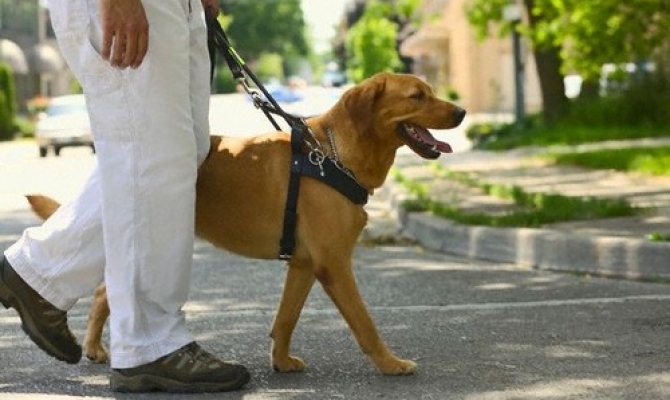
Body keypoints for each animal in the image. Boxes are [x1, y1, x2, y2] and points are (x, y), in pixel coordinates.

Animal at [27, 72, 466, 375]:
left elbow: (285, 318)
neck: (330, 154)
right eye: (417, 95)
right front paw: (390, 364)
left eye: (429, 90)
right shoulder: (335, 264)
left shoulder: (305, 264)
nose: (461, 111)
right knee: (104, 289)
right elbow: (365, 323)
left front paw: (281, 360)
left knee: (105, 291)